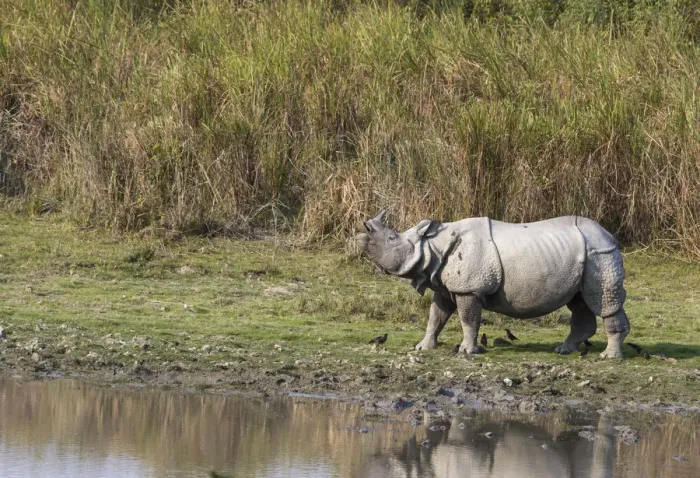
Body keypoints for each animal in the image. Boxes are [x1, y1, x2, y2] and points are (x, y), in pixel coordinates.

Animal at [356, 211, 630, 358]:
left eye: (391, 238)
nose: (363, 230)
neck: (431, 245)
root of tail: (609, 236)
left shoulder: (469, 287)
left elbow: (468, 319)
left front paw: (467, 351)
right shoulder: (445, 285)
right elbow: (436, 316)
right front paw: (423, 347)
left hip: (600, 254)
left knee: (604, 302)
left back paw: (608, 357)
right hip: (585, 257)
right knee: (579, 302)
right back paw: (563, 350)